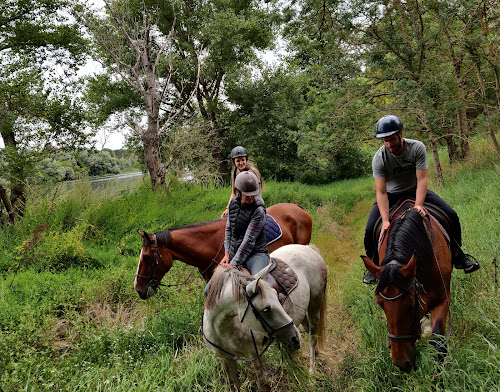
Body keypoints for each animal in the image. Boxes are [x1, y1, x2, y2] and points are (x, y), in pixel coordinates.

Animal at [203, 243, 328, 390]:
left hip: (315, 305)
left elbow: (264, 385)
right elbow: (234, 385)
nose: (295, 337)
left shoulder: (257, 356)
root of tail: (308, 248)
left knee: (312, 337)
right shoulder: (225, 359)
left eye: (277, 296)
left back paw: (312, 373)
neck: (223, 330)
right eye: (266, 309)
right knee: (308, 331)